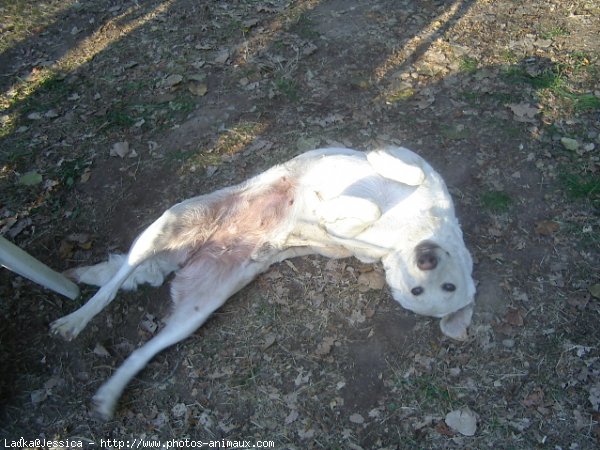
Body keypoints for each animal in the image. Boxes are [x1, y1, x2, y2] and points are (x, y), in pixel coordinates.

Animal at [50, 147, 474, 418]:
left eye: (440, 290)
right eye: (422, 289)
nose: (426, 258)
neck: (409, 232)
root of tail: (194, 251)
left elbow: (354, 216)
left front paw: (328, 212)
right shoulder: (421, 170)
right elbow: (405, 171)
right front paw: (375, 160)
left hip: (194, 314)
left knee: (141, 351)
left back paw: (108, 395)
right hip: (171, 222)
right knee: (115, 281)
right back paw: (75, 319)